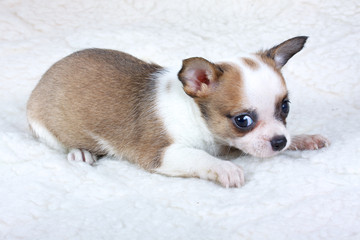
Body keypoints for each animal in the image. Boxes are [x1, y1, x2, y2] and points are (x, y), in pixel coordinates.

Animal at [27, 37, 330, 188]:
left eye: (285, 107)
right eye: (243, 120)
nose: (279, 142)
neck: (196, 117)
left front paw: (302, 138)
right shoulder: (162, 154)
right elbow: (199, 157)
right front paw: (225, 169)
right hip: (44, 128)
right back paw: (80, 152)